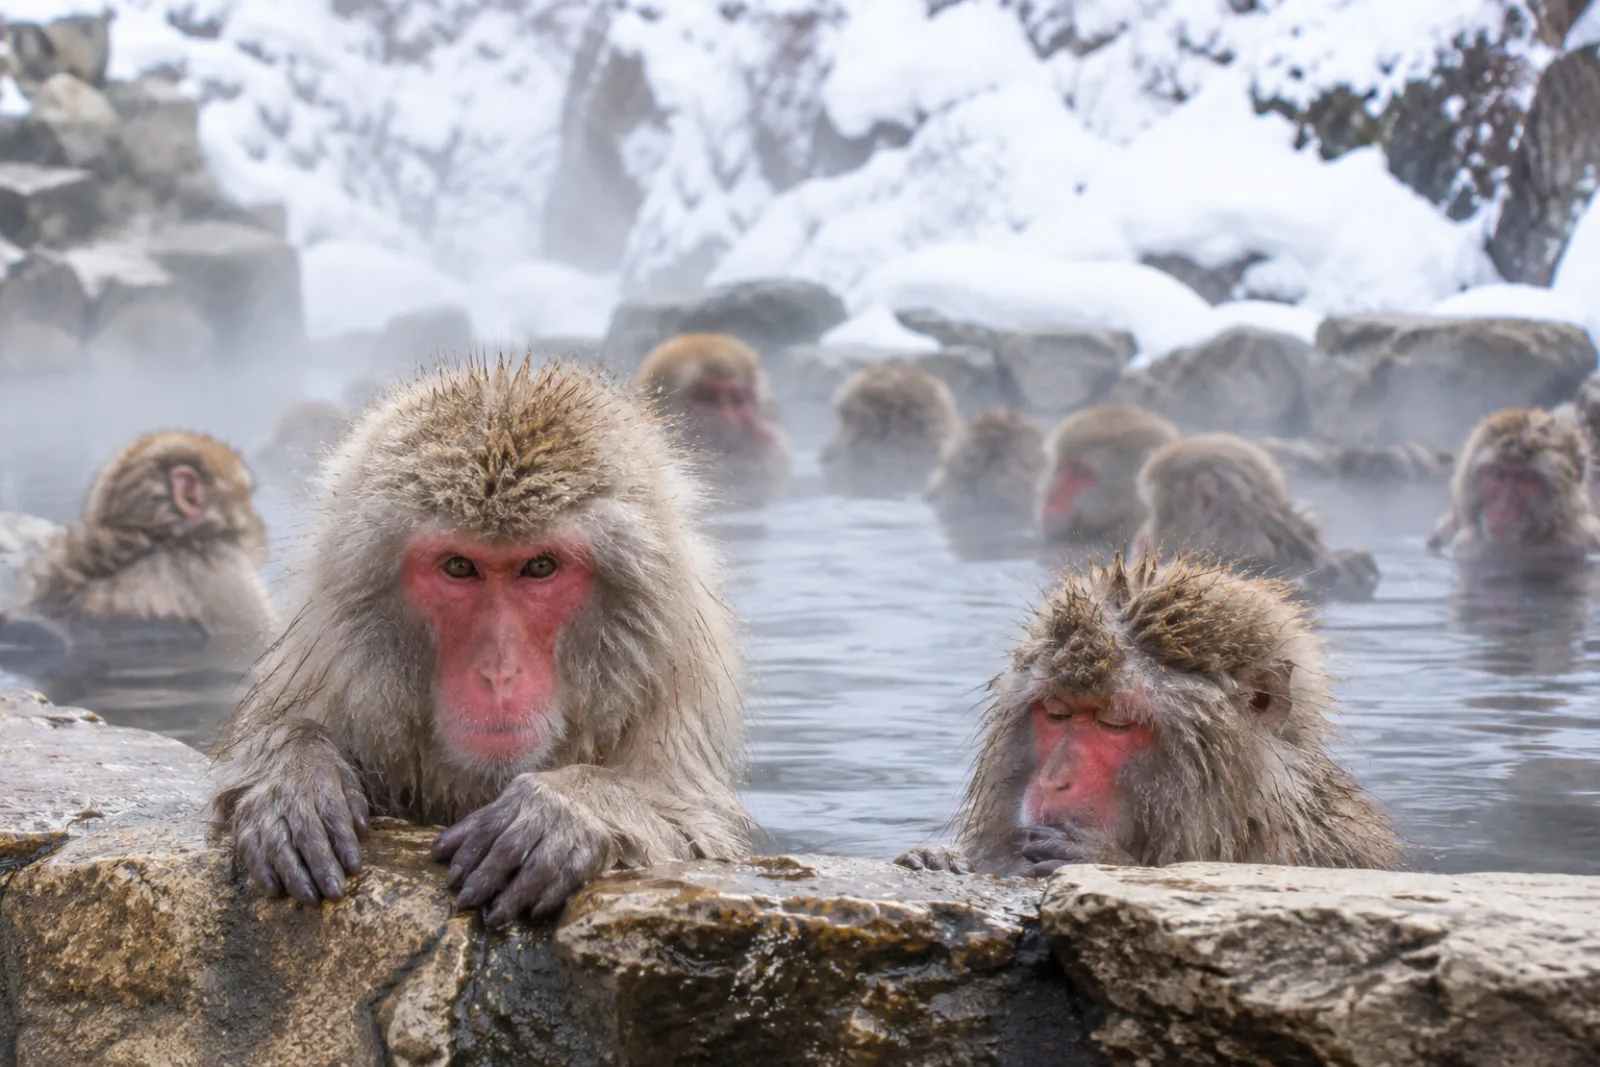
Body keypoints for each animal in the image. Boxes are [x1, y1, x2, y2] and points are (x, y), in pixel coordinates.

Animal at [210, 358, 752, 925]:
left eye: (540, 567)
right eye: (458, 567)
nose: (497, 670)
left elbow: (696, 833)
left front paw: (565, 808)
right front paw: (296, 772)